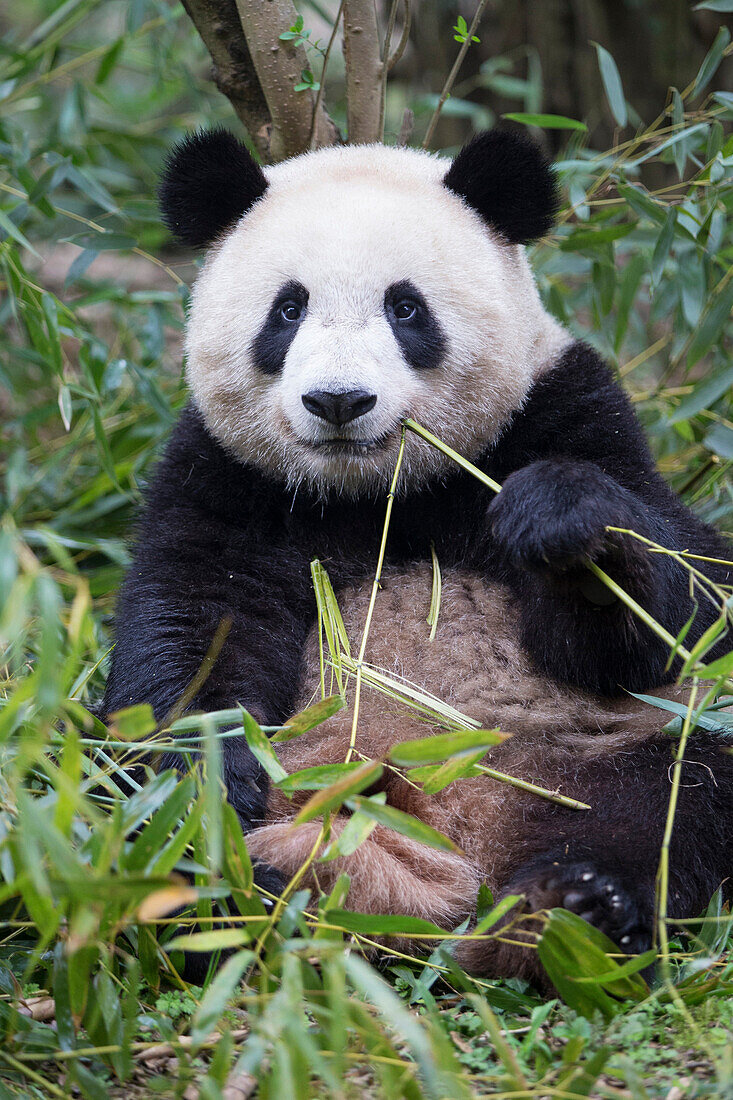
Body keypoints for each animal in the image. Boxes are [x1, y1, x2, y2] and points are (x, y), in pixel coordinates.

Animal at [104, 126, 730, 981]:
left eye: (405, 308)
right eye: (288, 309)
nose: (338, 401)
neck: (376, 493)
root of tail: (451, 842)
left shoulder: (563, 412)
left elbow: (673, 613)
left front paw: (560, 521)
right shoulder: (226, 477)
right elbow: (192, 641)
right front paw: (201, 802)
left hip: (600, 747)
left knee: (673, 800)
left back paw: (572, 907)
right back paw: (238, 886)